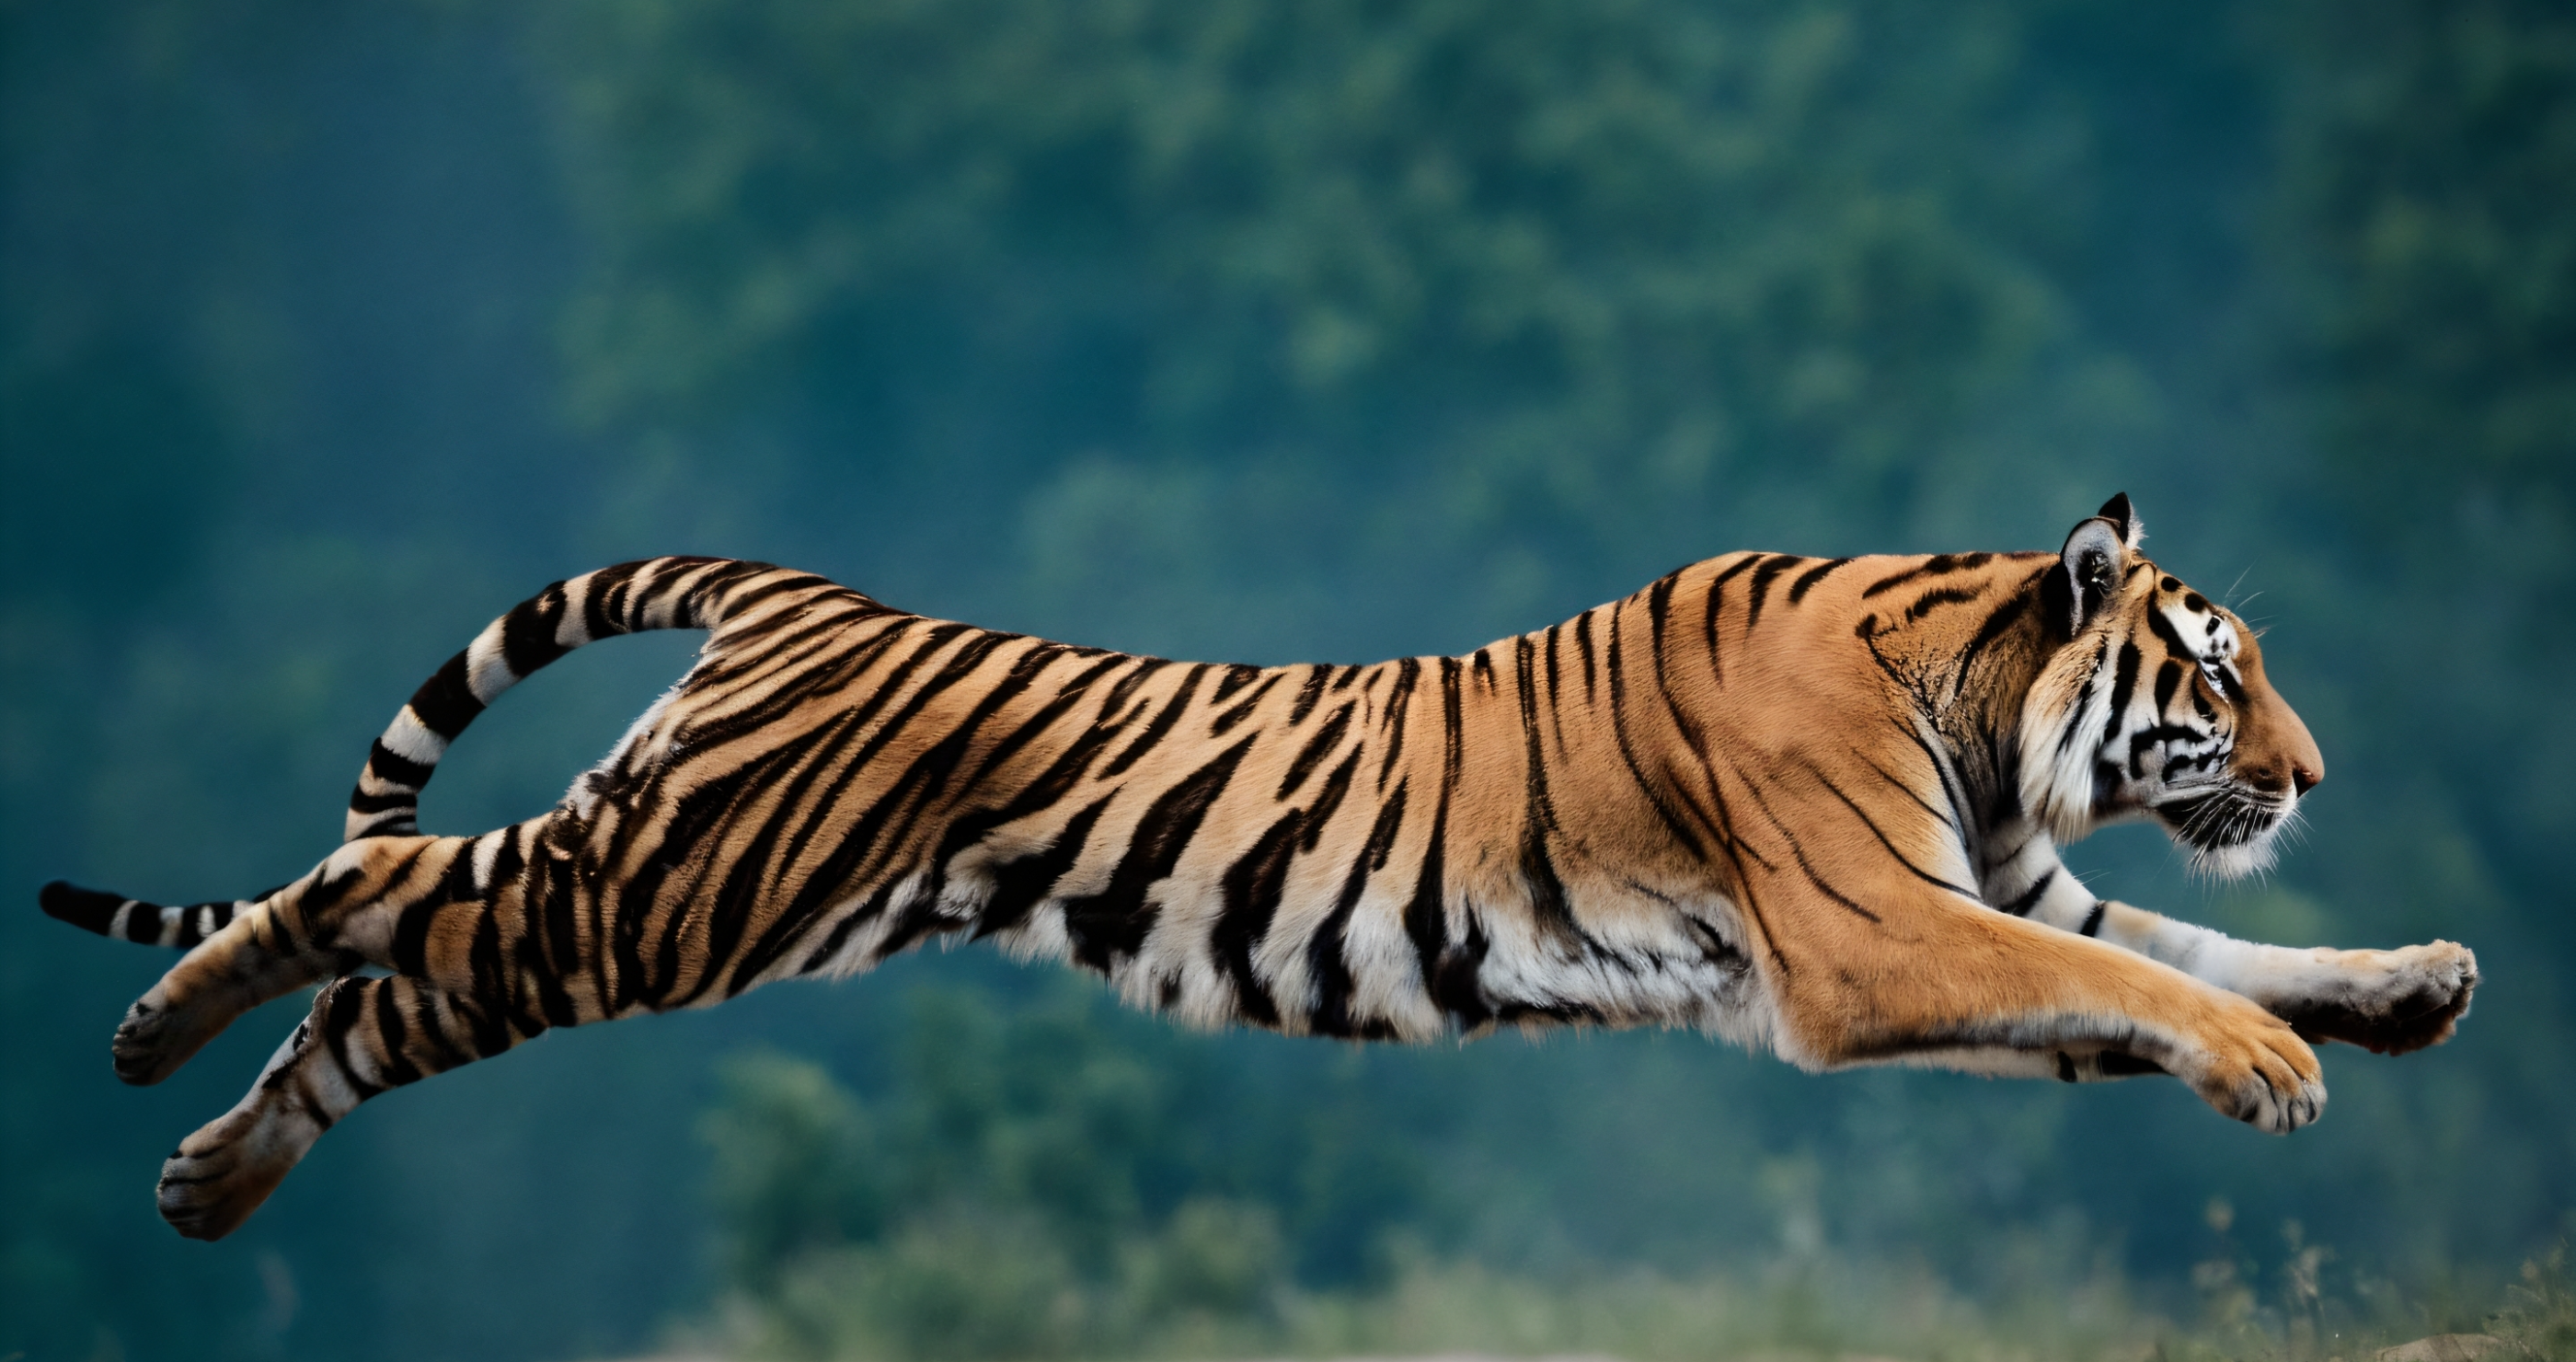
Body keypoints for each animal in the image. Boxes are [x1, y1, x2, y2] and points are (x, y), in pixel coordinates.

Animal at [42, 494, 2477, 1241]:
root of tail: (797, 591)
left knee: (397, 980)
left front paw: (2408, 982)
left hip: (670, 898)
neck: (1972, 698)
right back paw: (150, 1030)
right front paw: (2277, 1068)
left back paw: (206, 1172)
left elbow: (2188, 944)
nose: (2315, 762)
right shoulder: (1876, 936)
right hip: (672, 884)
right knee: (363, 895)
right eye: (2221, 672)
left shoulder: (2002, 904)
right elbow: (2162, 978)